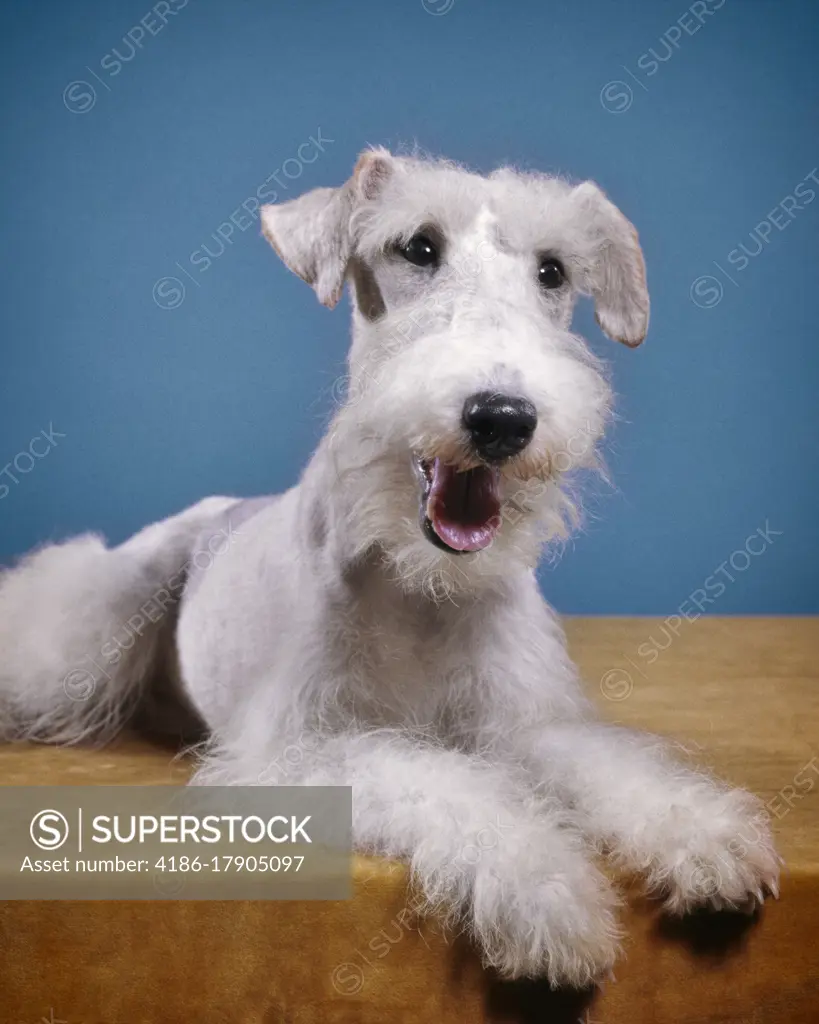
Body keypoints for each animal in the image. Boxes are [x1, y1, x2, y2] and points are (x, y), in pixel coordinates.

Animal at [1, 149, 782, 983]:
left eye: (553, 270)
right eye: (417, 247)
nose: (501, 416)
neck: (423, 590)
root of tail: (224, 506)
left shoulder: (522, 725)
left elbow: (608, 769)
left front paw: (705, 837)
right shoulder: (301, 752)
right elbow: (453, 790)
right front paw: (549, 899)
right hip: (96, 623)